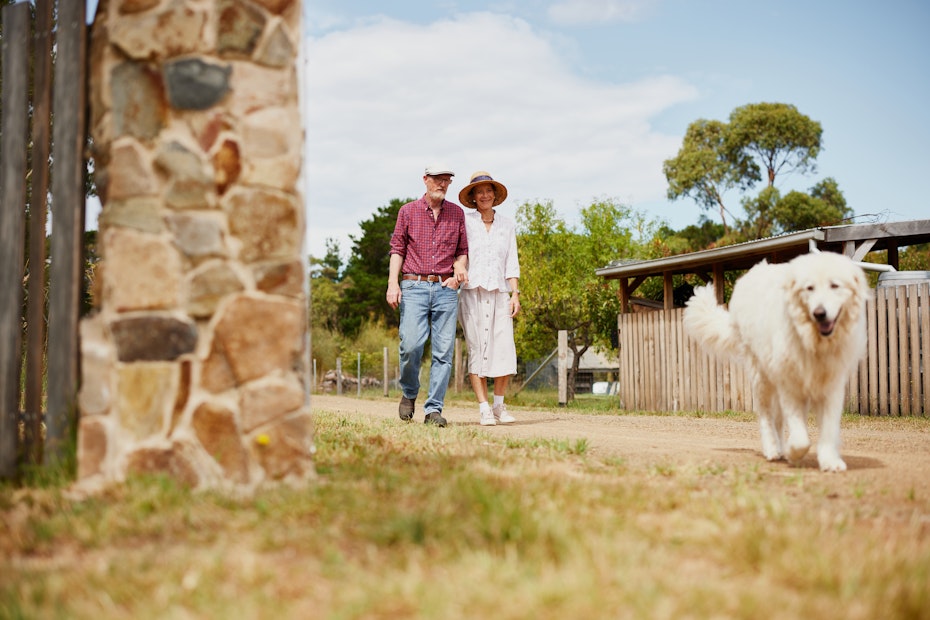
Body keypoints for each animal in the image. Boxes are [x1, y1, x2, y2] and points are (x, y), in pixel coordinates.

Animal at [680, 251, 872, 470]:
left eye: (834, 285)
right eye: (810, 288)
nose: (819, 313)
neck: (813, 343)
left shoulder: (830, 387)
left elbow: (829, 430)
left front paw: (830, 461)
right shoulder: (791, 387)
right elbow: (800, 437)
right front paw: (794, 452)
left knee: (778, 421)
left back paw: (780, 449)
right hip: (761, 378)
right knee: (766, 417)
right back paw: (772, 449)